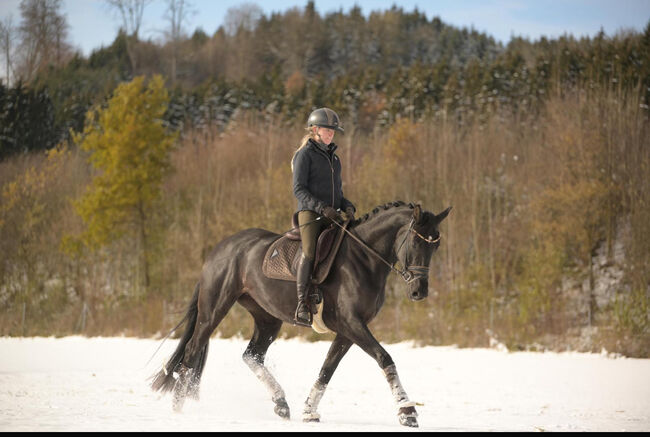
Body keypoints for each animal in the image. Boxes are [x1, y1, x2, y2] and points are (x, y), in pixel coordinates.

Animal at [151, 200, 450, 426]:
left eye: (435, 245)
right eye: (415, 242)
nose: (419, 292)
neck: (363, 259)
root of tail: (219, 248)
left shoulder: (348, 330)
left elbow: (327, 369)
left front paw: (309, 411)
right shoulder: (352, 324)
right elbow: (384, 358)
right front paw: (407, 410)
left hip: (267, 318)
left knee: (252, 355)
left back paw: (281, 403)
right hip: (214, 310)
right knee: (192, 351)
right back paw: (178, 408)